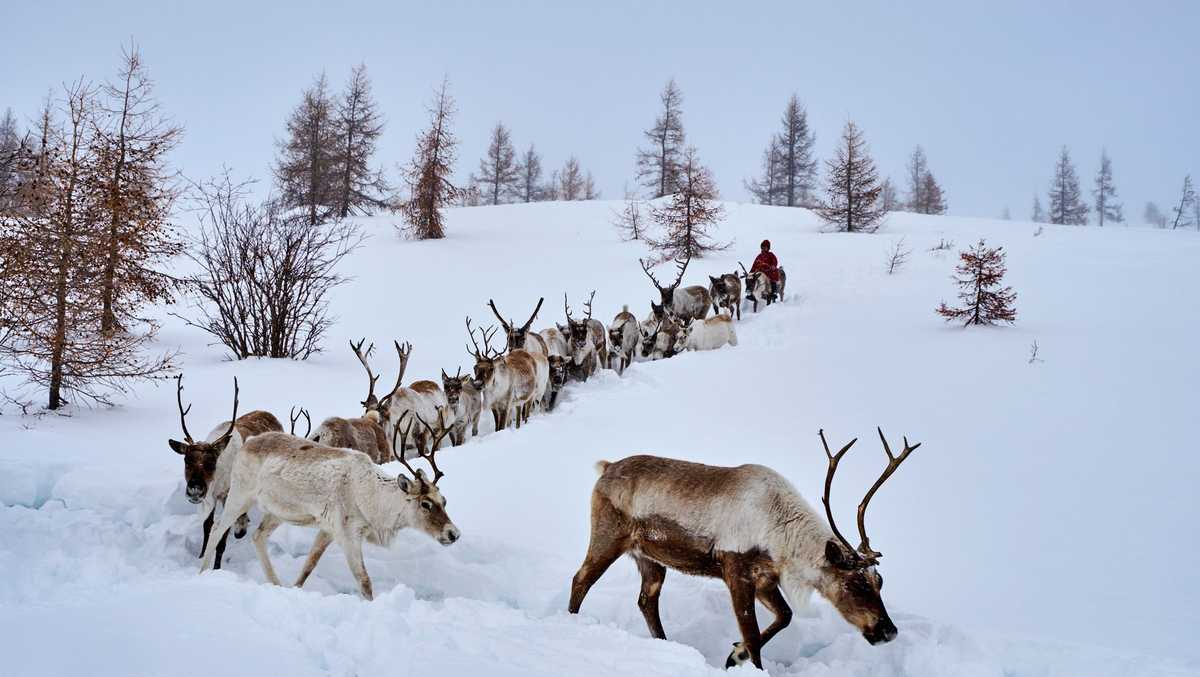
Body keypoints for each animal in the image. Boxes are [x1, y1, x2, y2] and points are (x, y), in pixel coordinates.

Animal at [168, 375, 282, 570]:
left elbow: (222, 538)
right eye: (186, 460)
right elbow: (207, 527)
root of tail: (271, 415)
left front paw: (216, 567)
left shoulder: (228, 495)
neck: (217, 481)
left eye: (211, 463)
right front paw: (201, 555)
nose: (195, 490)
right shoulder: (211, 497)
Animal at [200, 412, 460, 600]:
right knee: (217, 528)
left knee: (258, 536)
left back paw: (276, 583)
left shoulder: (327, 530)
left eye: (444, 500)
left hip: (277, 511)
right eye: (425, 504)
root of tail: (249, 441)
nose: (453, 534)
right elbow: (364, 580)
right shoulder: (348, 534)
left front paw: (295, 588)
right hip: (240, 494)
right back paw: (202, 573)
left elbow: (309, 565)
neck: (372, 500)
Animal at [568, 428, 920, 669]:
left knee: (646, 600)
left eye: (879, 581)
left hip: (650, 557)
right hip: (608, 537)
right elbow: (752, 635)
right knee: (581, 579)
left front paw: (734, 655)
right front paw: (744, 658)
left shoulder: (765, 578)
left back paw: (665, 644)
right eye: (854, 583)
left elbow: (785, 616)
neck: (781, 535)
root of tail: (606, 467)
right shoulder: (736, 570)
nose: (889, 631)